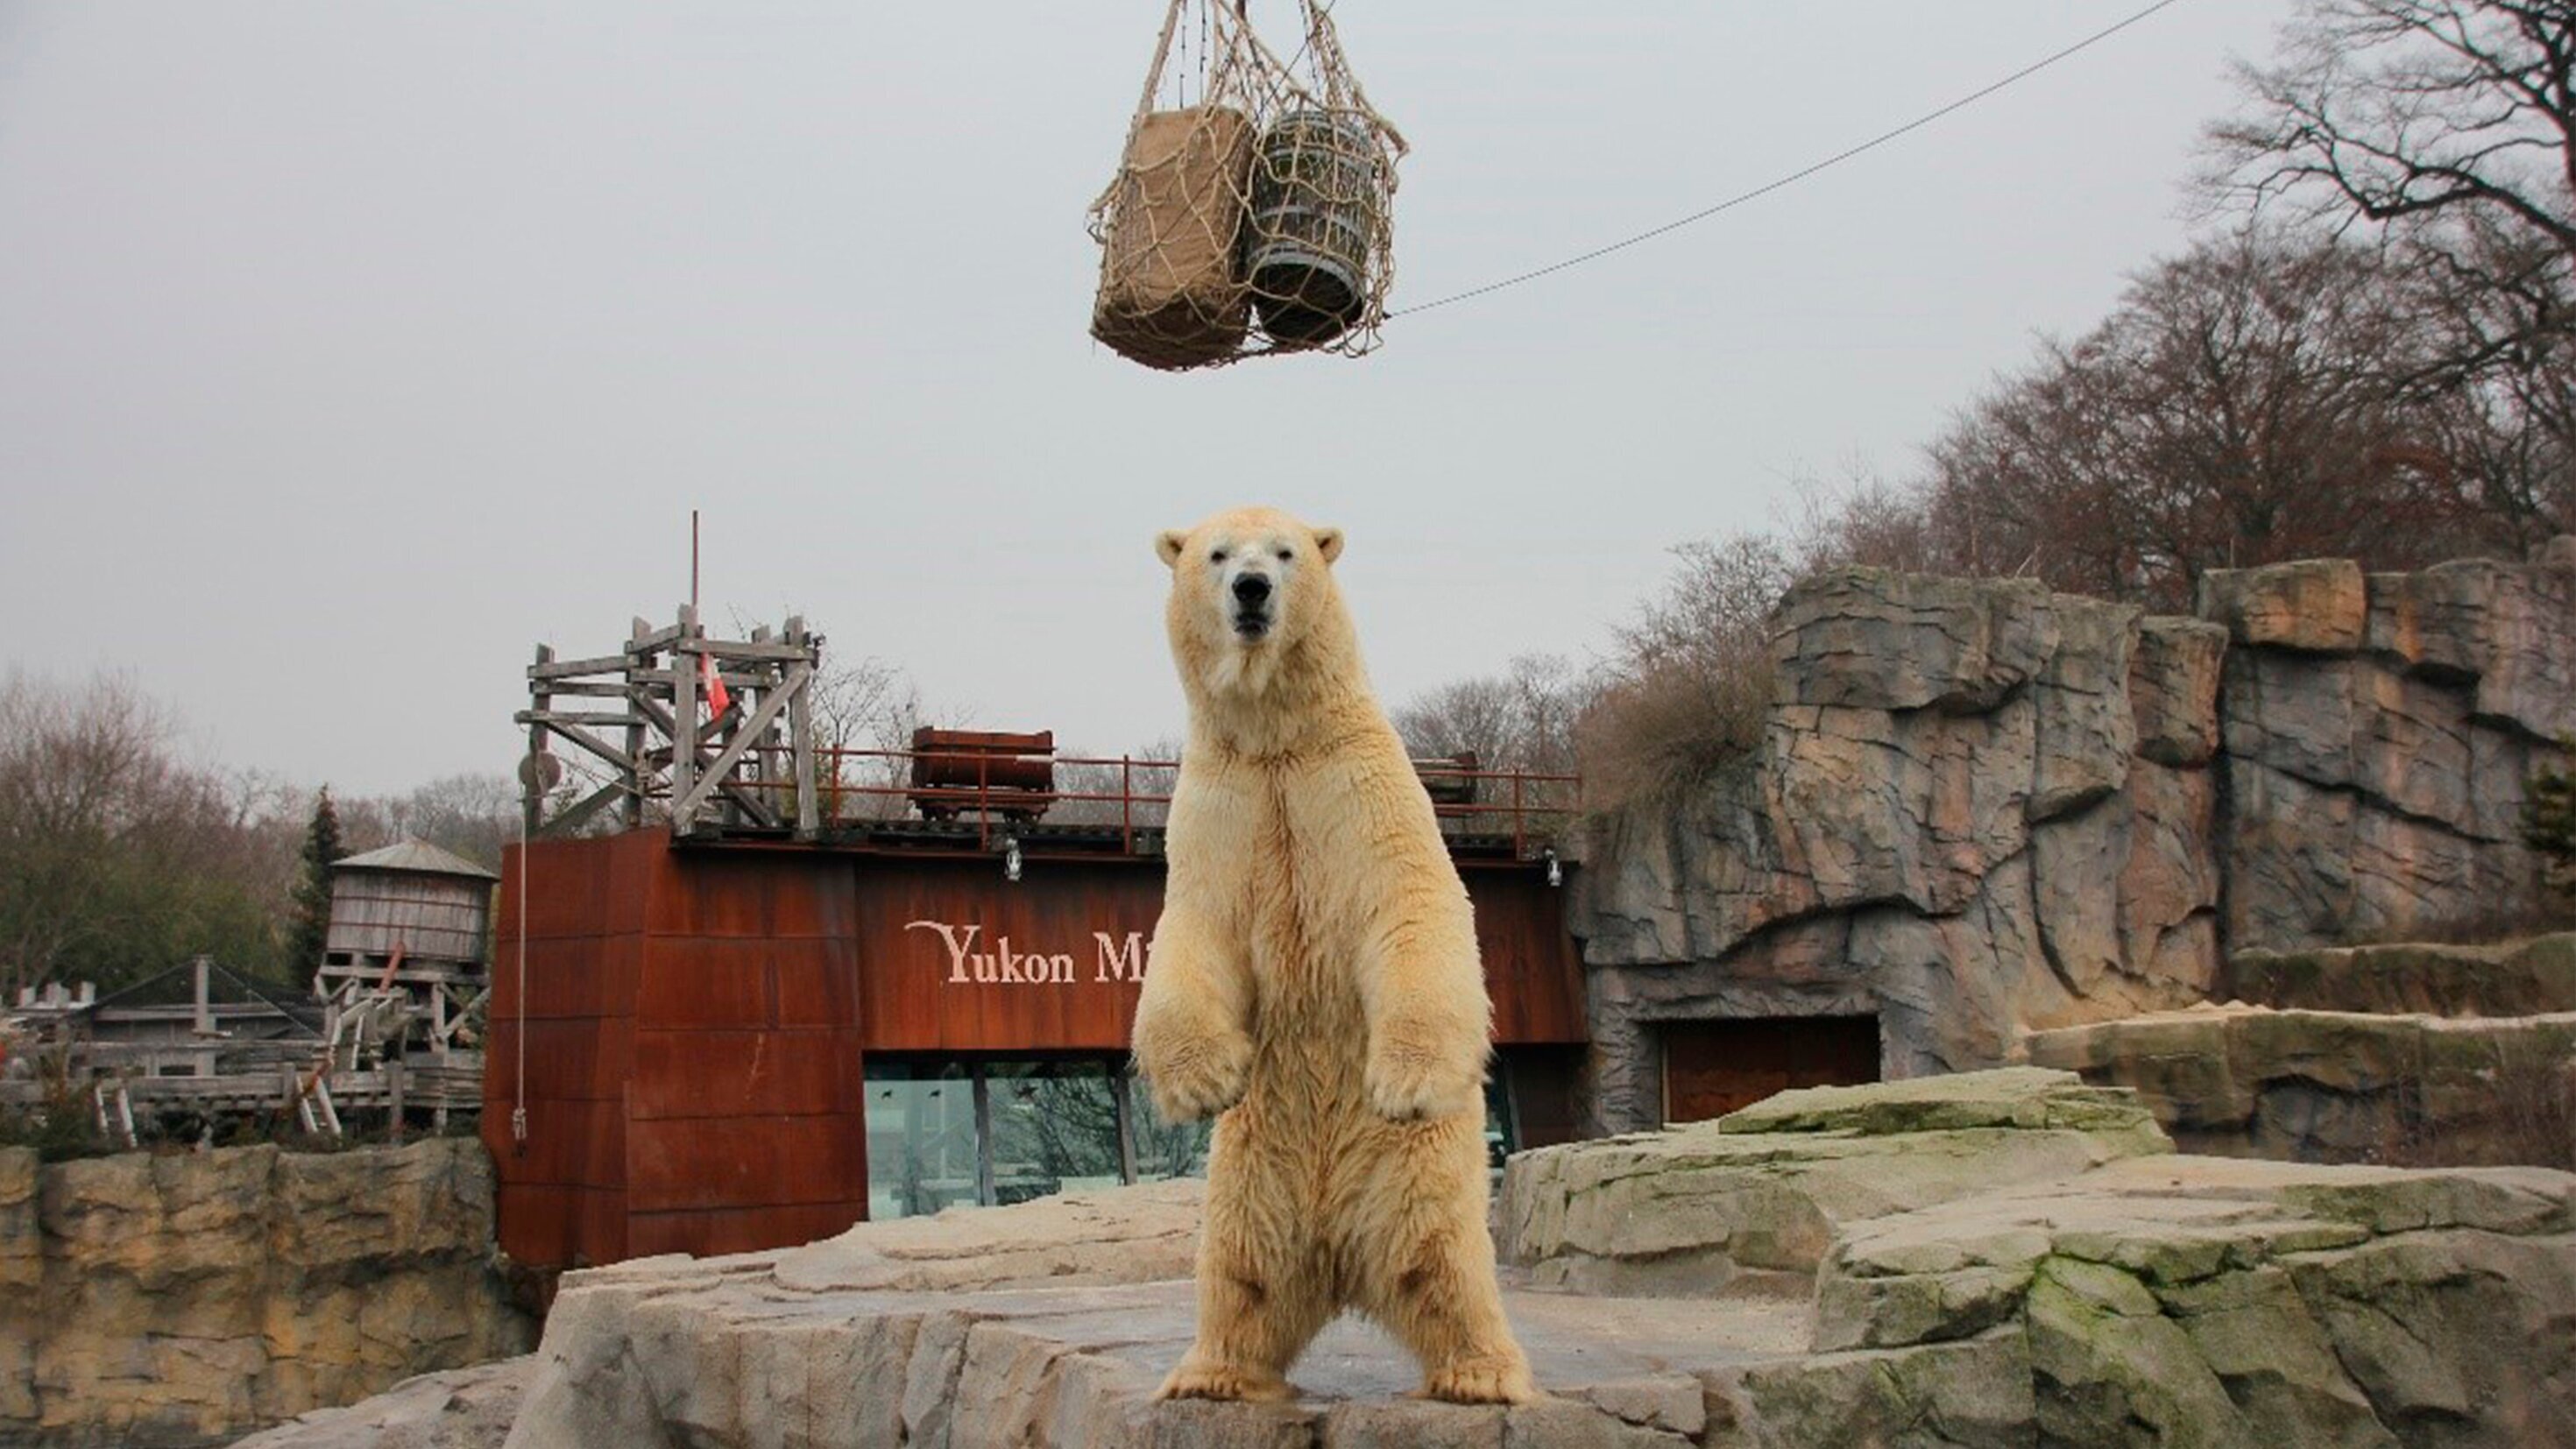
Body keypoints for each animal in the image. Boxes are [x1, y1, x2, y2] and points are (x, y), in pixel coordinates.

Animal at [1128, 506, 1525, 1410]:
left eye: (1285, 551)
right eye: (1216, 554)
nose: (1251, 589)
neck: (1278, 741)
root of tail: (1342, 1258)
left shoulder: (1358, 791)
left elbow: (1412, 905)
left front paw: (1404, 1081)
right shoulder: (1220, 808)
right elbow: (1194, 931)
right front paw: (1202, 1081)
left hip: (1420, 1174)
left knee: (1446, 1265)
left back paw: (1481, 1375)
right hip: (1249, 1176)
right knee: (1241, 1274)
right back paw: (1211, 1375)